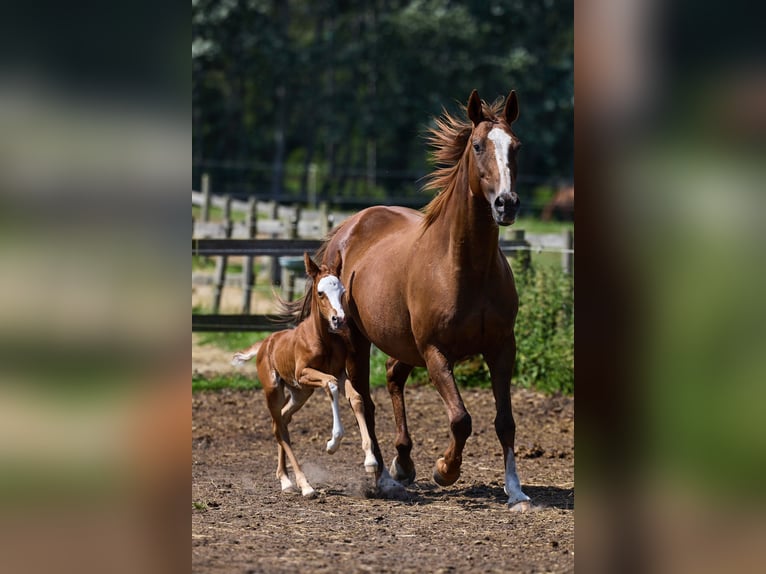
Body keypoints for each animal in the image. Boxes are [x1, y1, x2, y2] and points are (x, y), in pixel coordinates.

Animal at [231, 252, 374, 497]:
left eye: (342, 292)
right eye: (321, 293)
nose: (339, 320)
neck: (323, 339)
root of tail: (265, 343)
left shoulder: (338, 372)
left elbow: (355, 397)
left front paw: (370, 461)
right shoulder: (304, 373)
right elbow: (331, 385)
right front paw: (332, 444)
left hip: (301, 394)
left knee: (283, 420)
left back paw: (286, 480)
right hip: (274, 390)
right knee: (278, 427)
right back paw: (303, 484)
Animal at [309, 90, 531, 509]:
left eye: (516, 146)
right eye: (478, 146)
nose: (506, 204)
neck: (464, 266)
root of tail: (350, 227)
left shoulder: (501, 348)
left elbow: (506, 421)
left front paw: (516, 489)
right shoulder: (434, 351)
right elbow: (461, 418)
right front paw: (445, 470)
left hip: (402, 343)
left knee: (392, 377)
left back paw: (402, 464)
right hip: (357, 339)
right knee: (363, 398)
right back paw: (379, 474)